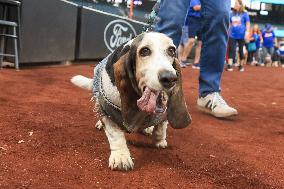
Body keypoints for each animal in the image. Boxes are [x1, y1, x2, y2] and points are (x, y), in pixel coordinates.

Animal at [70, 31, 191, 171]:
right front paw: (121, 157)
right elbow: (115, 134)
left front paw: (159, 141)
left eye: (171, 50)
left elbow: (161, 128)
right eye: (144, 51)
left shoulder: (162, 113)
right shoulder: (107, 110)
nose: (170, 78)